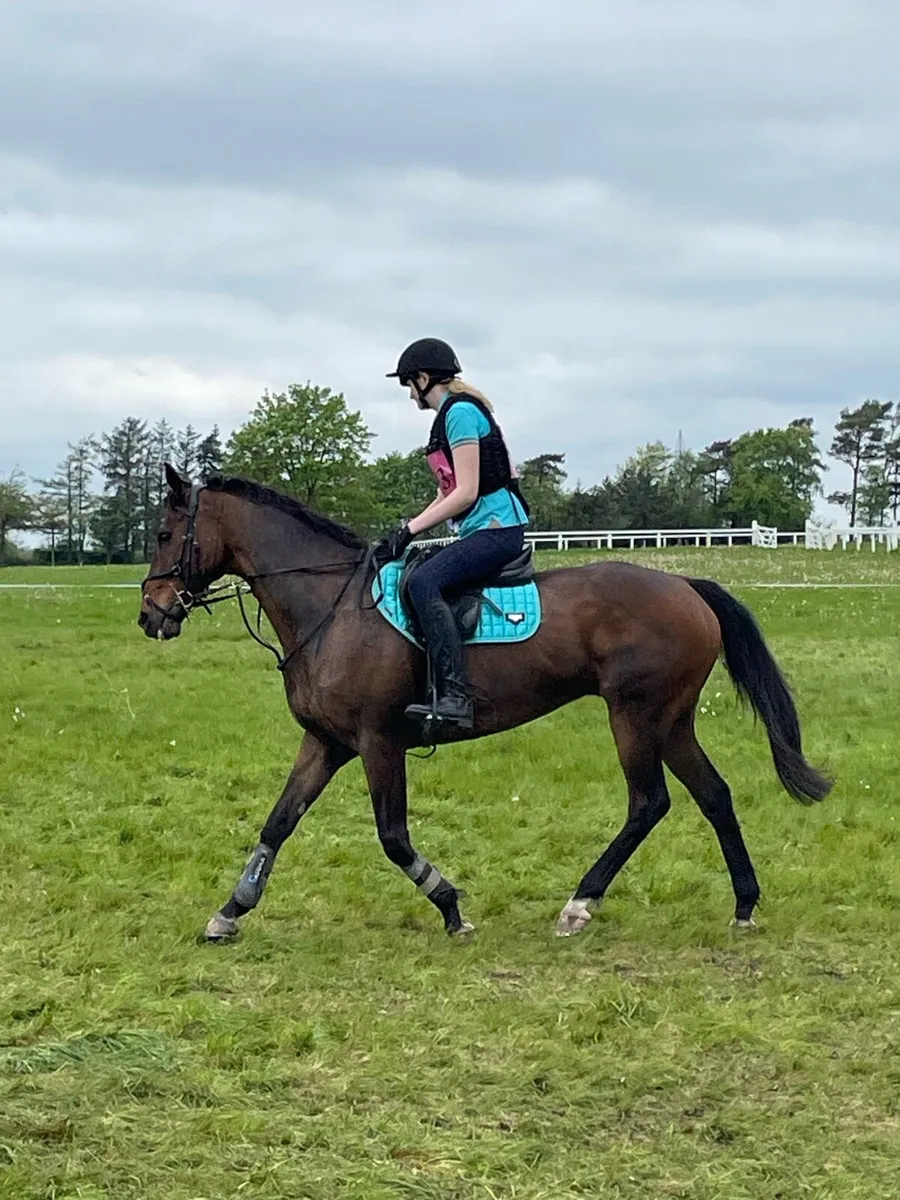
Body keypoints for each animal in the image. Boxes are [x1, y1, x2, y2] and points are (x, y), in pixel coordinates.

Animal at [138, 465, 831, 943]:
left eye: (166, 533)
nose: (150, 614)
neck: (331, 609)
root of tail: (684, 585)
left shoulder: (378, 742)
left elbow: (393, 837)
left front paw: (450, 907)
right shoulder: (326, 742)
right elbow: (278, 823)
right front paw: (229, 912)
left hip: (635, 716)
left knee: (649, 803)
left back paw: (581, 902)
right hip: (671, 720)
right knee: (713, 794)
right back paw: (743, 904)